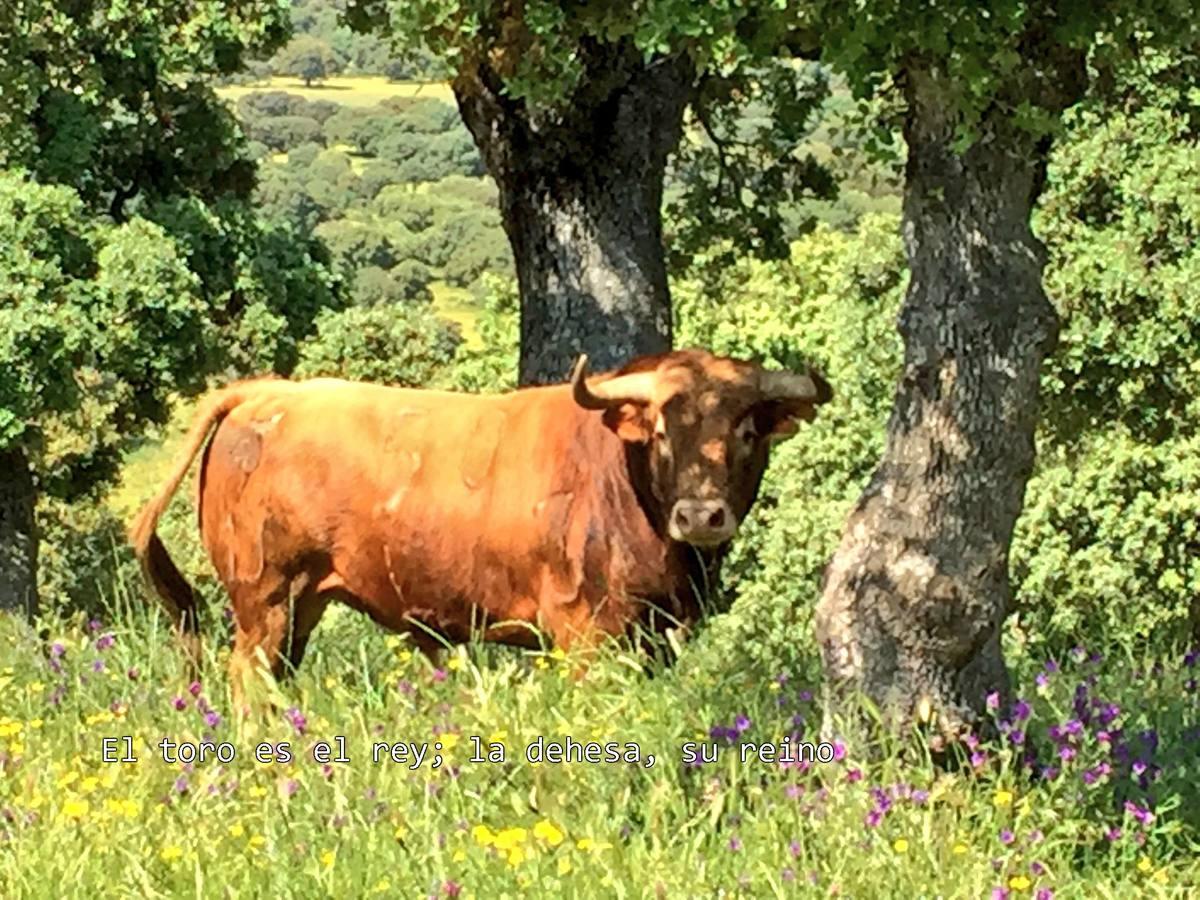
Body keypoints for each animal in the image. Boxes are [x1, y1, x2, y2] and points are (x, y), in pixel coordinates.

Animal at [129, 348, 825, 710]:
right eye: (658, 429)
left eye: (746, 431)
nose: (701, 515)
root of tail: (264, 394)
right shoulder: (585, 631)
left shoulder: (654, 634)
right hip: (263, 596)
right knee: (250, 681)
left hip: (300, 604)